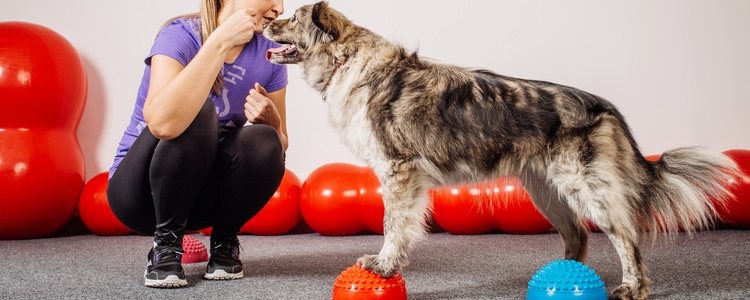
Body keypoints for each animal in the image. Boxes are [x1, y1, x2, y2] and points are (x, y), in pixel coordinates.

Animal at [262, 1, 744, 298]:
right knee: (579, 236)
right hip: (547, 191)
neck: (349, 60)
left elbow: (393, 227)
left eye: (294, 19)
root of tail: (603, 106)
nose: (268, 19)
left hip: (585, 187)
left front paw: (383, 266)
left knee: (626, 237)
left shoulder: (398, 171)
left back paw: (632, 287)